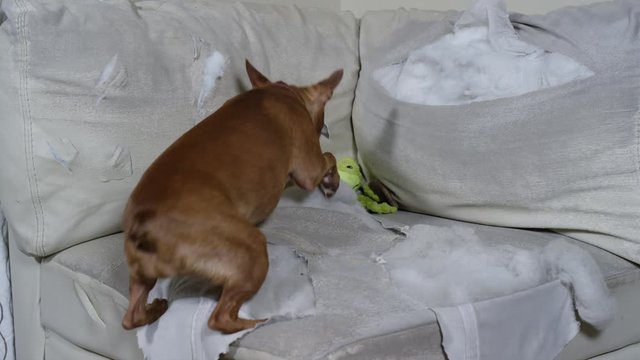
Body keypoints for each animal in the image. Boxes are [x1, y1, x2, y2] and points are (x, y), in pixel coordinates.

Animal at [119, 60, 340, 334]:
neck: (281, 92)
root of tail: (144, 226)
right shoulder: (308, 169)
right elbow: (329, 156)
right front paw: (331, 182)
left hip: (141, 276)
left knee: (131, 317)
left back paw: (155, 309)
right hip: (251, 249)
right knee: (220, 318)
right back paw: (258, 322)